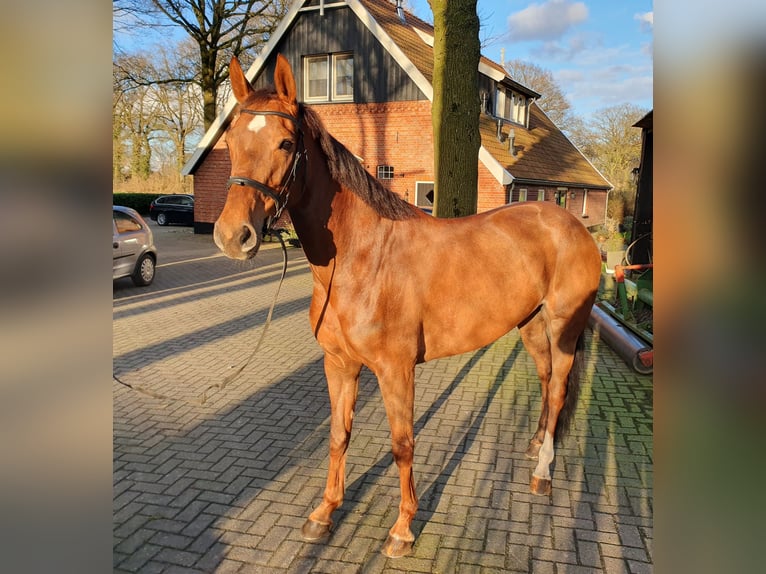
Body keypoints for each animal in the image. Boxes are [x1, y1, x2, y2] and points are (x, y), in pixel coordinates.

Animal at [213, 55, 604, 564]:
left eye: (284, 143)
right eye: (231, 142)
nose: (232, 236)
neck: (361, 258)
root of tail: (574, 225)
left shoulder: (395, 369)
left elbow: (402, 444)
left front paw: (402, 529)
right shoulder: (339, 364)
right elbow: (338, 435)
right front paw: (324, 514)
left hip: (564, 328)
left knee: (557, 391)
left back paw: (543, 473)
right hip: (531, 326)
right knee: (545, 382)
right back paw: (539, 445)